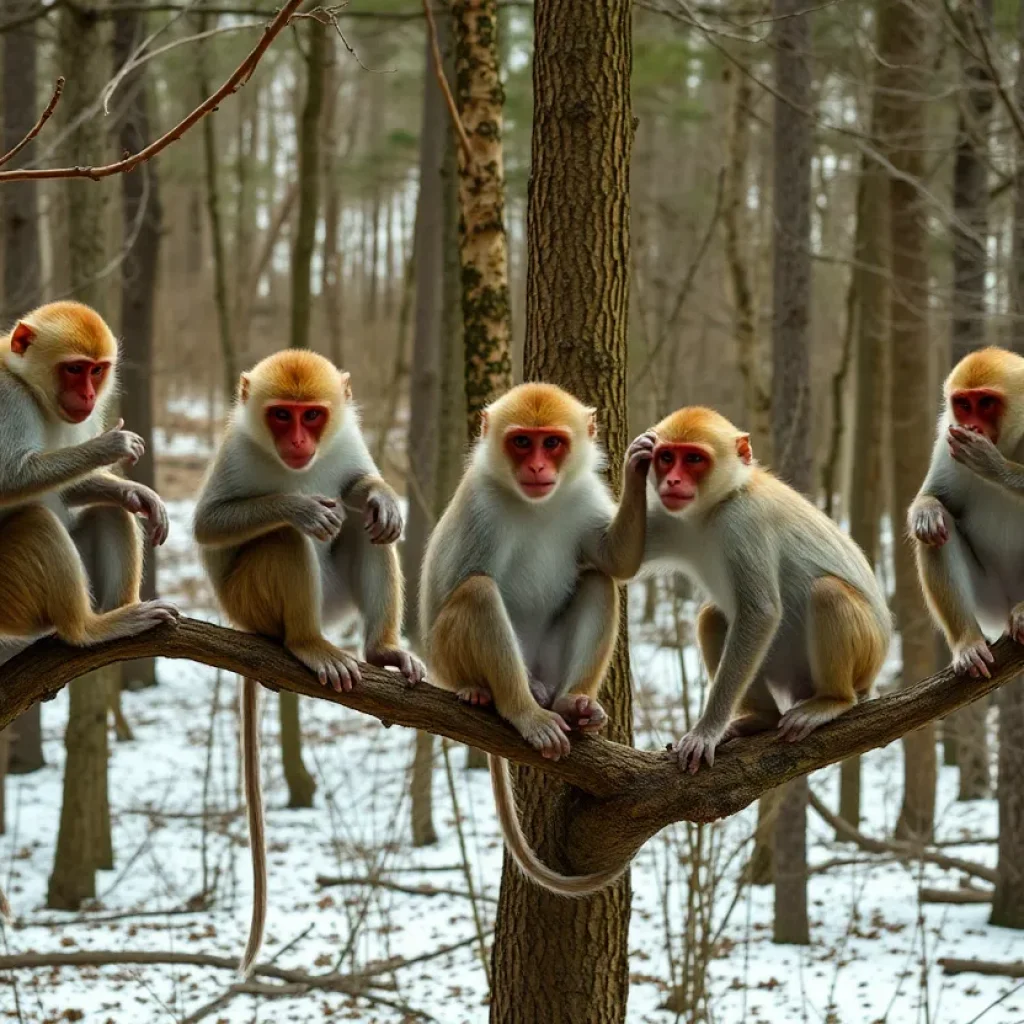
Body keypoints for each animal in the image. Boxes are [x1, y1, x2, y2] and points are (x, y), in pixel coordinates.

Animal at [419, 380, 651, 892]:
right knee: (477, 593)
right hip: (455, 658)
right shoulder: (480, 508)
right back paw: (510, 703)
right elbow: (453, 585)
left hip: (548, 661)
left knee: (598, 581)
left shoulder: (585, 495)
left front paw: (640, 467)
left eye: (553, 443)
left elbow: (614, 560)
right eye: (523, 442)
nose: (539, 468)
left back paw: (572, 704)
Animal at [634, 403, 892, 770]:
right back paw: (763, 718)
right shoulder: (673, 519)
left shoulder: (743, 523)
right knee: (713, 618)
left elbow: (760, 614)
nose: (672, 480)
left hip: (867, 657)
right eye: (667, 457)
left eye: (694, 459)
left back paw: (833, 700)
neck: (716, 505)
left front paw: (705, 732)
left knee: (828, 593)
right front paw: (633, 458)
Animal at [909, 346, 1024, 679]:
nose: (971, 427)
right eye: (963, 404)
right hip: (991, 601)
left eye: (985, 403)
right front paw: (926, 511)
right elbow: (935, 499)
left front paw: (992, 464)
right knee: (938, 532)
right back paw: (968, 643)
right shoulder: (946, 441)